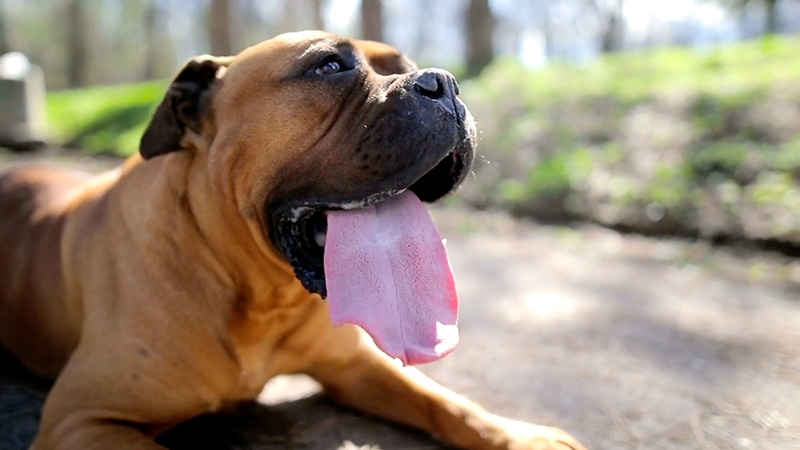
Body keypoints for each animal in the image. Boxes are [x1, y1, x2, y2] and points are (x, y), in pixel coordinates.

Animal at [0, 29, 584, 448]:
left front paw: (521, 435)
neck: (259, 294)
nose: (443, 82)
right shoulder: (83, 418)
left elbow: (444, 400)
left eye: (407, 67)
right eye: (328, 66)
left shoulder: (353, 365)